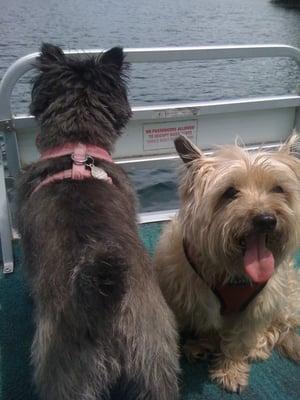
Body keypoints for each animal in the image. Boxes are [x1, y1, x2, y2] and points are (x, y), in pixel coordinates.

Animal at [154, 136, 300, 392]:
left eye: (278, 189)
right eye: (230, 192)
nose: (266, 219)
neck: (232, 272)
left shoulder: (257, 306)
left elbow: (238, 340)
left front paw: (230, 370)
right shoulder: (186, 297)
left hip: (288, 297)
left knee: (279, 325)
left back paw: (257, 345)